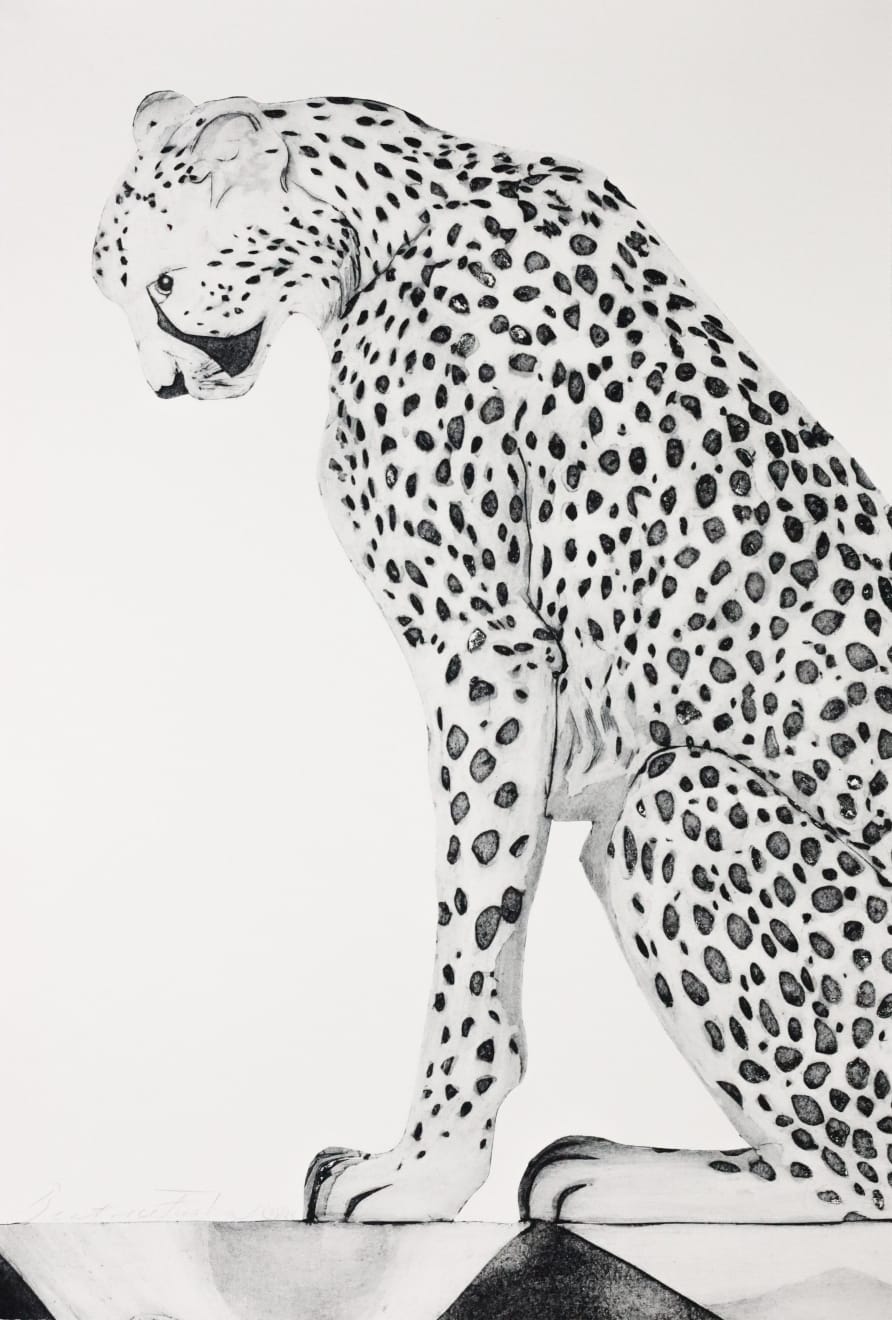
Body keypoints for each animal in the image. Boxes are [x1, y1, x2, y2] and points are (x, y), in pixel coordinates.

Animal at [94, 91, 892, 1224]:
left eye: (161, 285)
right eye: (114, 288)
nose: (163, 387)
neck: (397, 207)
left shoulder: (488, 651)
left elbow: (472, 922)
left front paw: (425, 1169)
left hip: (673, 793)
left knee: (858, 1173)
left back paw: (624, 1178)